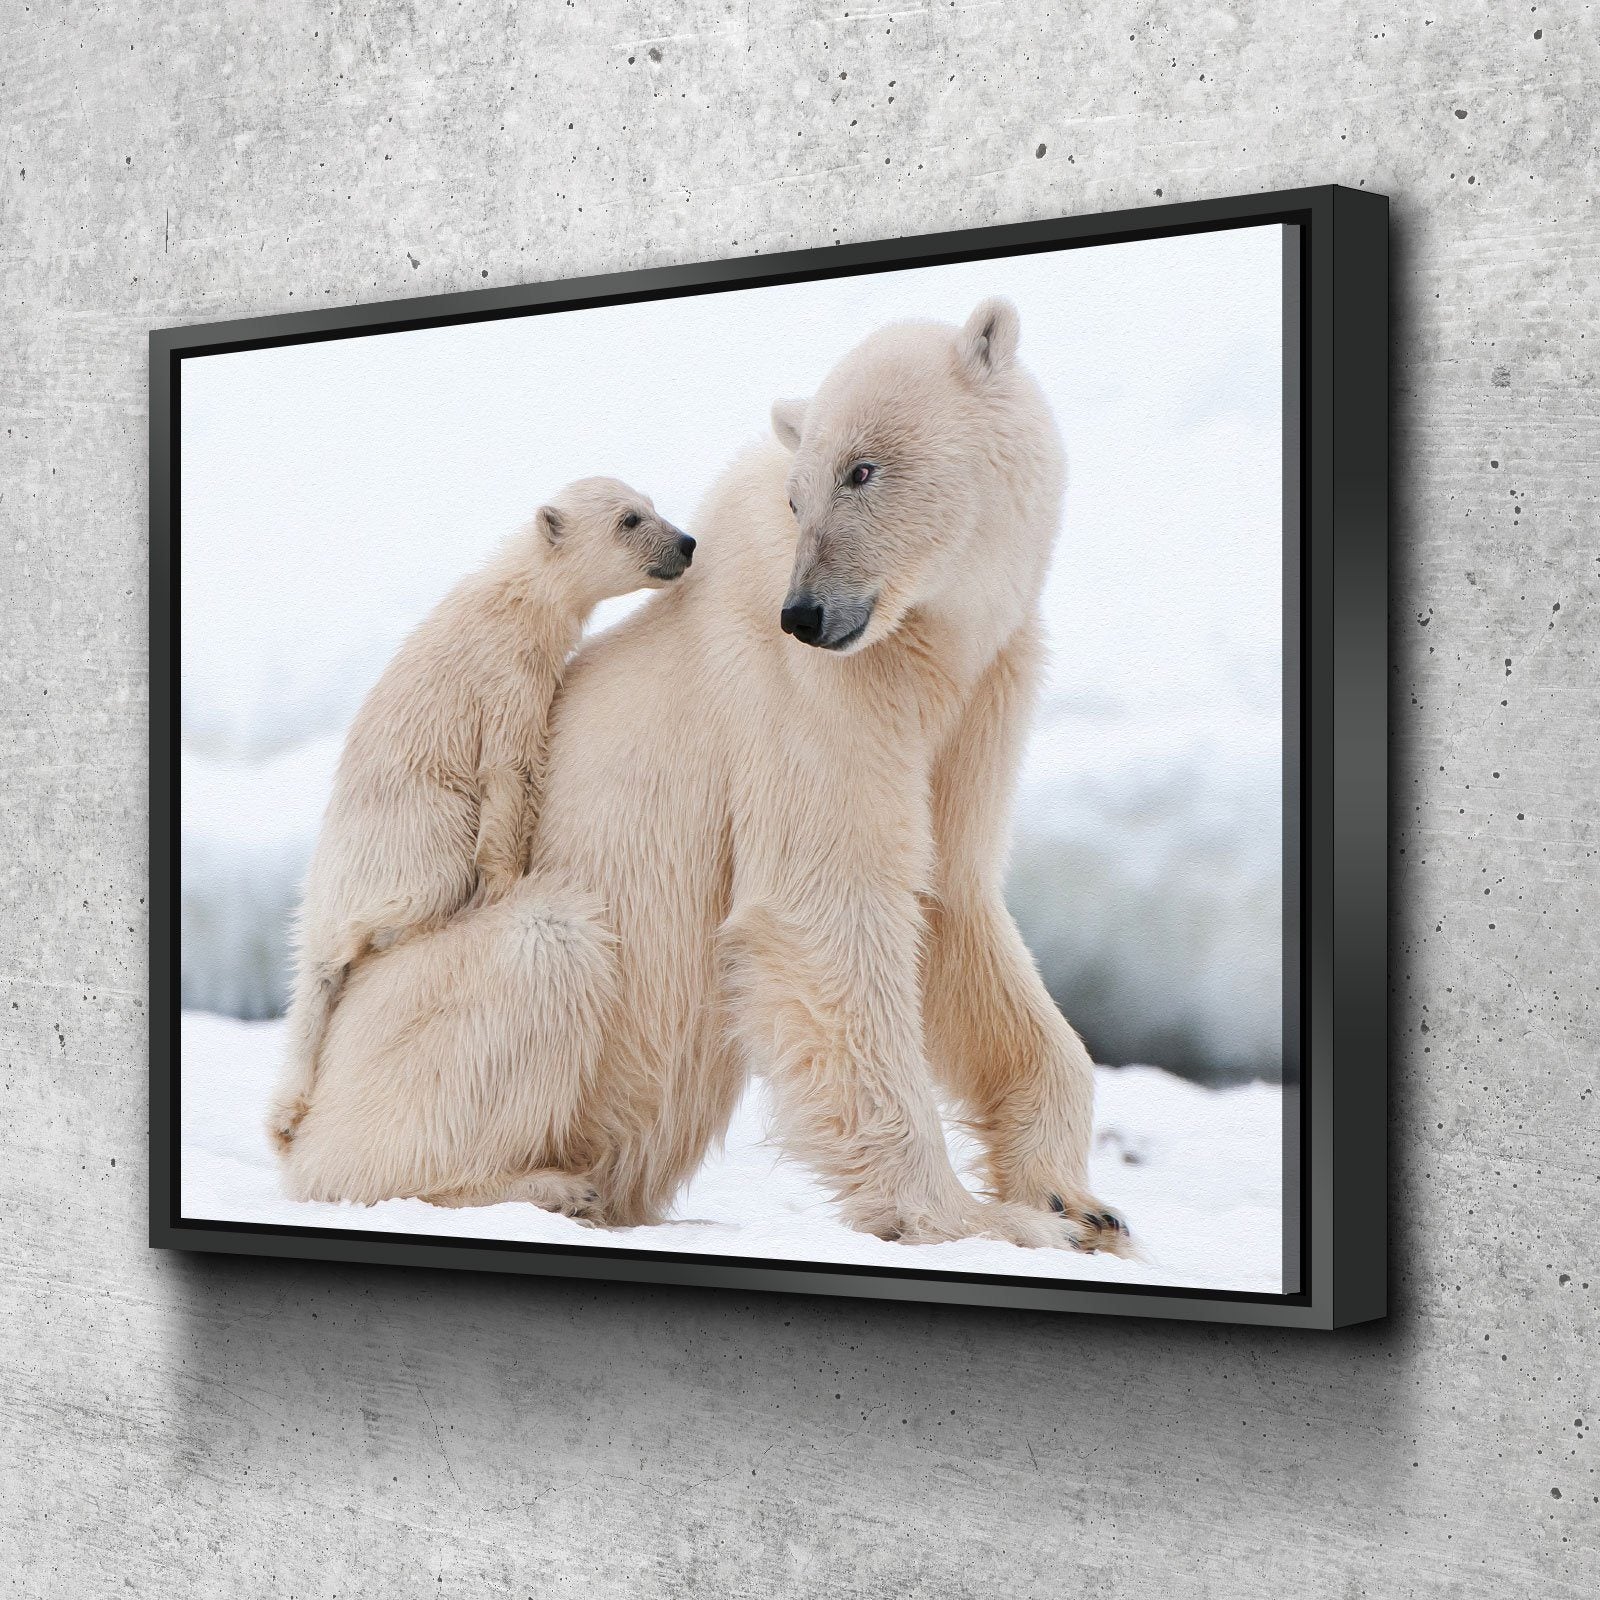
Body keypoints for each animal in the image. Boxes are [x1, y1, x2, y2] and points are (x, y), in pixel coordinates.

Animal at [264, 477, 694, 1159]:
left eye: (652, 505)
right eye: (630, 519)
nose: (686, 542)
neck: (517, 598)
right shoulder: (505, 679)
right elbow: (507, 773)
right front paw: (506, 882)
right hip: (409, 829)